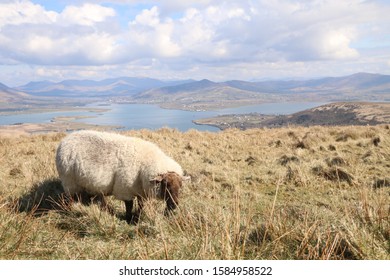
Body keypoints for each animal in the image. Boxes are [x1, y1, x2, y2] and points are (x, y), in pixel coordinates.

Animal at [55, 130, 190, 224]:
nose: (174, 205)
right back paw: (71, 210)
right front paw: (129, 219)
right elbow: (129, 205)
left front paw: (137, 217)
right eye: (166, 184)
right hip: (69, 181)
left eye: (180, 185)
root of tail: (64, 141)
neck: (144, 165)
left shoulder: (140, 191)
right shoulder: (125, 189)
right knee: (70, 198)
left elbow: (141, 205)